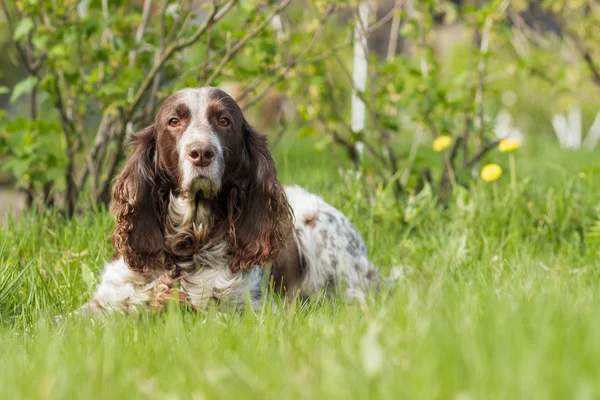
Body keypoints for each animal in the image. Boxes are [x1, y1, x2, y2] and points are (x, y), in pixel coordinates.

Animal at [75, 87, 378, 316]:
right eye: (174, 121)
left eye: (223, 121)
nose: (201, 152)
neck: (188, 247)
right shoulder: (108, 301)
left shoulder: (244, 310)